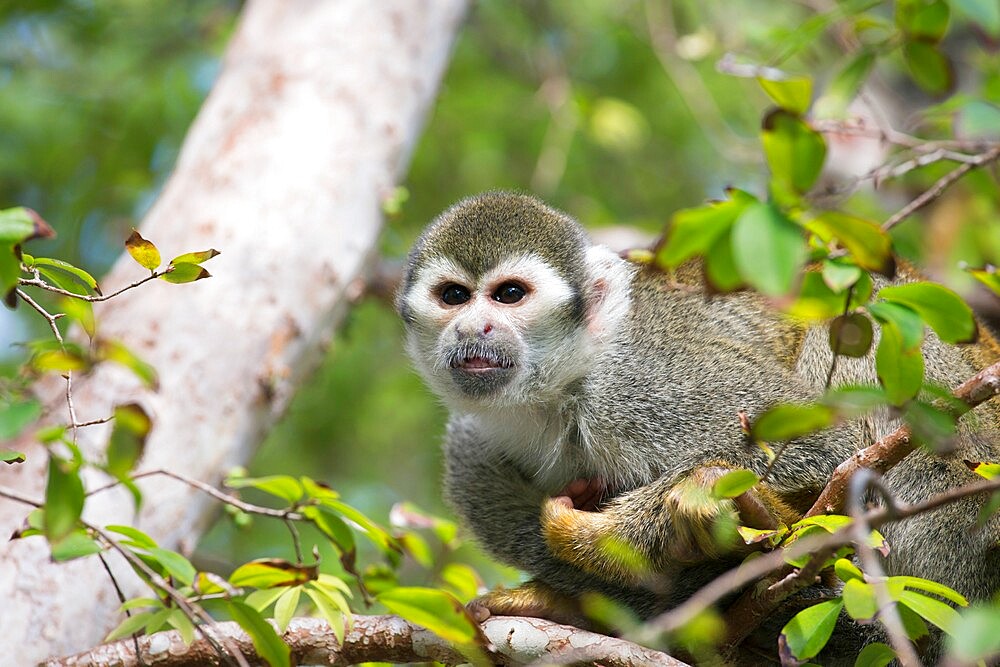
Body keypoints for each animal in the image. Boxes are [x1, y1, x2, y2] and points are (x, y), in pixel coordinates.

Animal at [394, 192, 996, 652]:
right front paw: (575, 598)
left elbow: (823, 448)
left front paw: (634, 527)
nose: (475, 326)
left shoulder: (640, 386)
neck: (558, 390)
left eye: (510, 294)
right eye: (454, 296)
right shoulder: (471, 454)